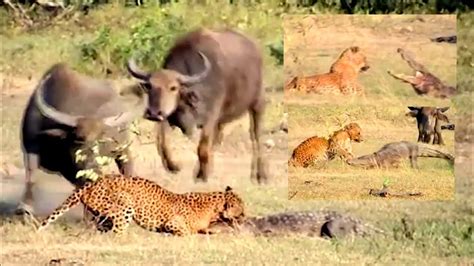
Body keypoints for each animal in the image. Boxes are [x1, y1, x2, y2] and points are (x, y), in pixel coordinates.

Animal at [18, 63, 145, 213]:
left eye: (101, 141)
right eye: (79, 139)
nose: (92, 167)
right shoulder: (31, 147)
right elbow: (31, 176)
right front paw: (25, 207)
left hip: (123, 151)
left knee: (127, 169)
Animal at [34, 174, 244, 236]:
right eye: (241, 211)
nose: (245, 219)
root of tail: (92, 182)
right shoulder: (173, 222)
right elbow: (185, 232)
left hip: (102, 213)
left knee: (102, 228)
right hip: (125, 204)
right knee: (117, 232)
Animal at [126, 28, 268, 184]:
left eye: (173, 87)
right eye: (150, 86)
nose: (153, 113)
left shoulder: (210, 117)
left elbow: (203, 147)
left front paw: (202, 175)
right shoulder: (169, 118)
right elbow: (162, 143)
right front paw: (174, 166)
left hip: (258, 103)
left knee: (256, 137)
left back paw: (260, 175)